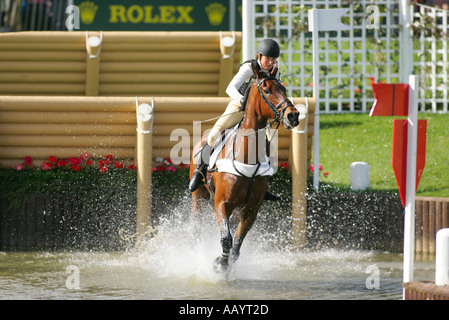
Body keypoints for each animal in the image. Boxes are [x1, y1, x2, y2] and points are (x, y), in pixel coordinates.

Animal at [187, 60, 300, 272]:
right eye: (266, 89)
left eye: (283, 88)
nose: (293, 115)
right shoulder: (222, 204)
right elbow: (226, 239)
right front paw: (220, 263)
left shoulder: (251, 210)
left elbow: (237, 245)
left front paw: (225, 262)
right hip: (197, 196)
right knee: (195, 225)